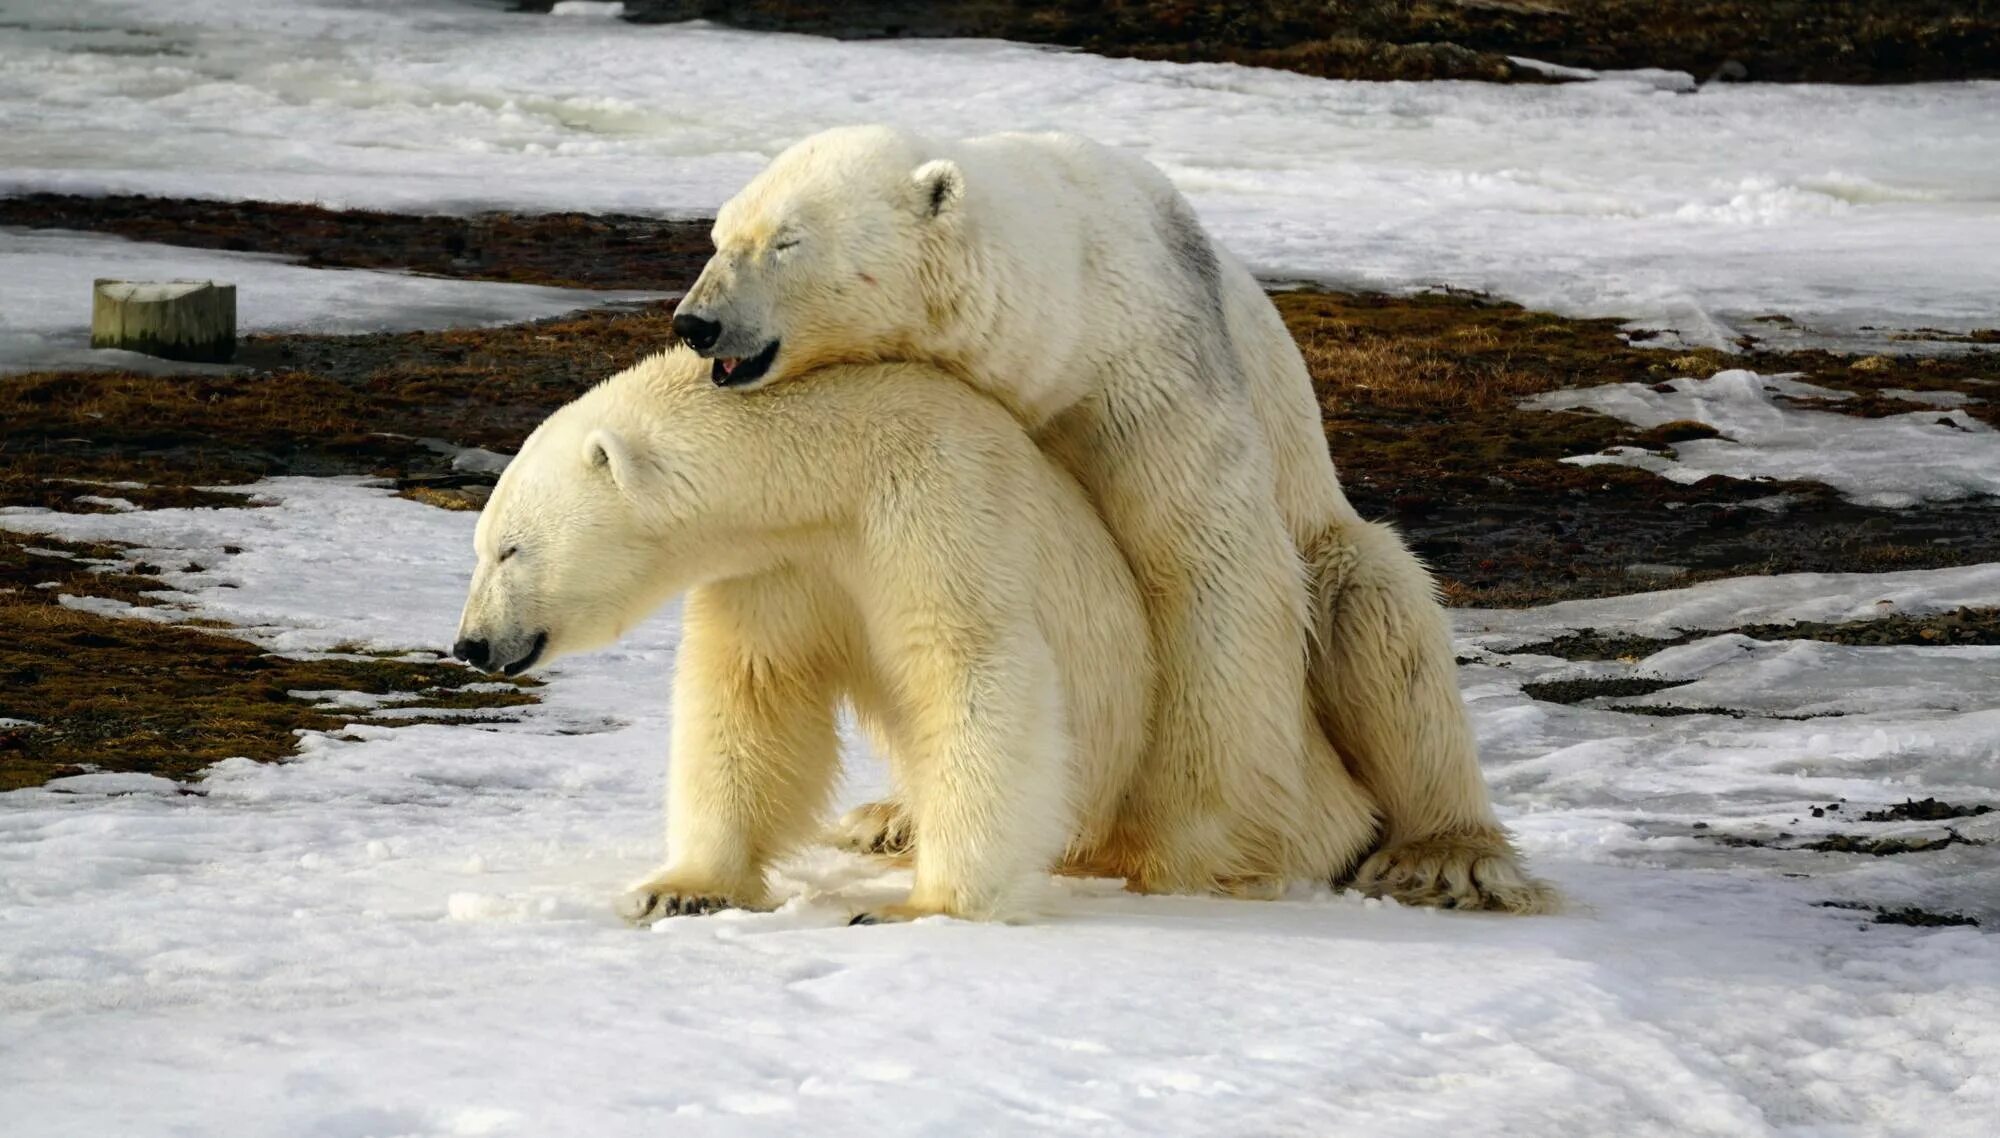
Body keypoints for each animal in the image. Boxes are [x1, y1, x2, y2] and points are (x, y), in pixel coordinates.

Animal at [680, 124, 1552, 908]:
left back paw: (1446, 857)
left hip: (1335, 551)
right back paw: (888, 817)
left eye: (787, 241)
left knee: (1377, 614)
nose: (694, 322)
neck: (1071, 298)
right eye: (719, 236)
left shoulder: (1153, 376)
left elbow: (1211, 573)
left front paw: (1190, 851)